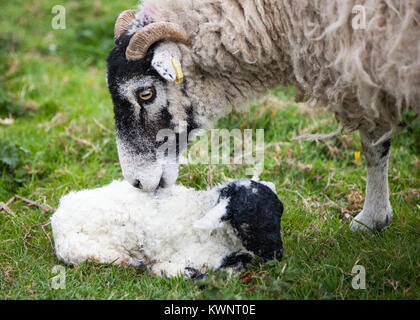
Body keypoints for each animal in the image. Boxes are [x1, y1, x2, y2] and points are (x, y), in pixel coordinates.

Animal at [50, 179, 284, 276]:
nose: (277, 254)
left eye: (279, 213)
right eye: (246, 226)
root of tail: (58, 216)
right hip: (93, 252)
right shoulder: (196, 257)